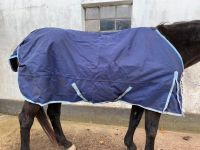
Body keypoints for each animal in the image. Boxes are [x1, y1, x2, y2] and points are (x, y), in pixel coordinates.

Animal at [9, 20, 200, 150]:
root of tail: (25, 42)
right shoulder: (156, 97)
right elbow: (151, 130)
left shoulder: (142, 95)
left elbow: (134, 120)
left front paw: (129, 144)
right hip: (39, 90)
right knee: (25, 119)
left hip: (56, 89)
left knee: (53, 114)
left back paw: (66, 143)